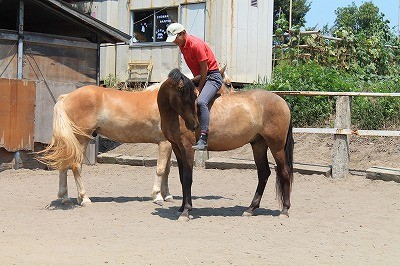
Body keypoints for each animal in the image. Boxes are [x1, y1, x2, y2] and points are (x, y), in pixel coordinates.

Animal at [37, 67, 233, 207]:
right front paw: (157, 196)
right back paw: (84, 198)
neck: (166, 103)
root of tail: (66, 97)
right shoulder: (164, 143)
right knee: (75, 166)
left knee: (64, 164)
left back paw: (65, 197)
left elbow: (167, 170)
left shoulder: (169, 144)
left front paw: (167, 195)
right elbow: (160, 169)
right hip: (81, 139)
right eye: (228, 83)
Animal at [159, 68, 294, 220]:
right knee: (264, 173)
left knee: (285, 172)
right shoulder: (177, 148)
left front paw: (186, 211)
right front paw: (181, 208)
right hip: (259, 145)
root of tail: (282, 101)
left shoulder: (187, 148)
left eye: (193, 95)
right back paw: (251, 208)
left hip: (276, 146)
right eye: (182, 90)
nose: (193, 125)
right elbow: (182, 178)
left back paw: (284, 210)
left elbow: (188, 178)